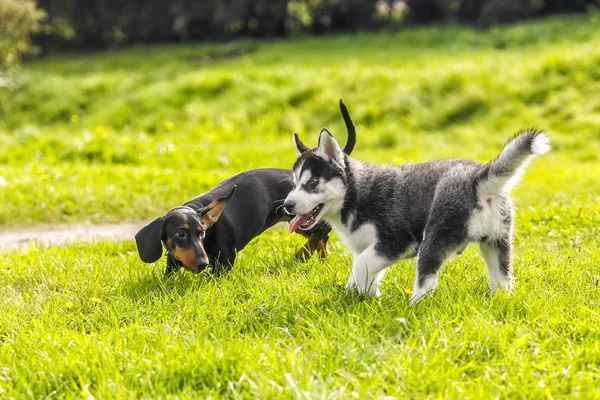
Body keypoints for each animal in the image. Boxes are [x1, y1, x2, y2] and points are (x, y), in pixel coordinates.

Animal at [134, 100, 354, 276]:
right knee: (322, 237)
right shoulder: (173, 261)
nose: (203, 263)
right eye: (180, 233)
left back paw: (303, 254)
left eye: (202, 232)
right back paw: (321, 258)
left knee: (323, 230)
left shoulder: (225, 259)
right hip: (298, 222)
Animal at [284, 128, 552, 304]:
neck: (356, 194)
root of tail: (477, 179)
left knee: (428, 281)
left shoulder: (394, 242)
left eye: (312, 183)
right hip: (496, 243)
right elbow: (361, 271)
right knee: (503, 279)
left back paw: (413, 305)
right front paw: (358, 293)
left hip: (432, 239)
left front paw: (367, 294)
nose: (287, 205)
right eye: (294, 183)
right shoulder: (370, 248)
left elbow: (361, 266)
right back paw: (500, 302)